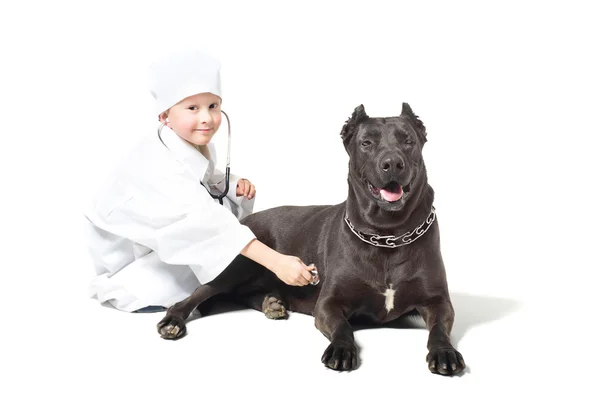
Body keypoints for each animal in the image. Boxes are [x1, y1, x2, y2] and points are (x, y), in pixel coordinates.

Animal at [157, 103, 466, 374]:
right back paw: (173, 319)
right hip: (239, 263)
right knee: (200, 291)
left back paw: (272, 303)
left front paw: (444, 352)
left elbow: (439, 328)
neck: (386, 234)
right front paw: (341, 349)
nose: (392, 163)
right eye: (367, 143)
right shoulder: (328, 304)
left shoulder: (438, 300)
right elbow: (343, 327)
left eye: (408, 141)